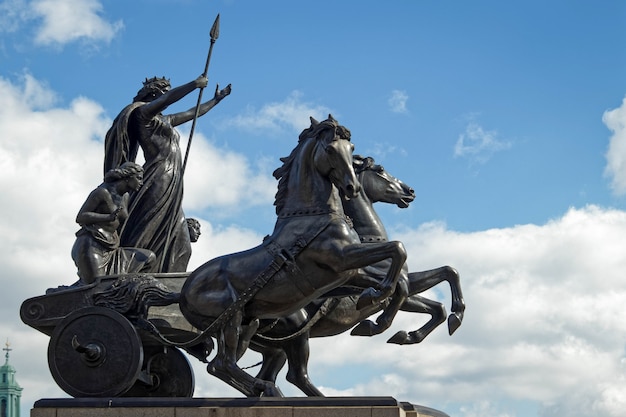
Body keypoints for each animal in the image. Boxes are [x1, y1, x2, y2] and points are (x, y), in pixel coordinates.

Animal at [178, 115, 408, 394]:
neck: (313, 215)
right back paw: (267, 389)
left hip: (248, 324)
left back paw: (267, 389)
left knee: (231, 364)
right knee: (225, 365)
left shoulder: (348, 274)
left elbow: (401, 279)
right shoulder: (343, 257)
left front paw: (377, 310)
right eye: (330, 149)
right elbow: (398, 248)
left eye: (351, 148)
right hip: (233, 319)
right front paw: (376, 304)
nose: (351, 187)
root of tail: (183, 290)